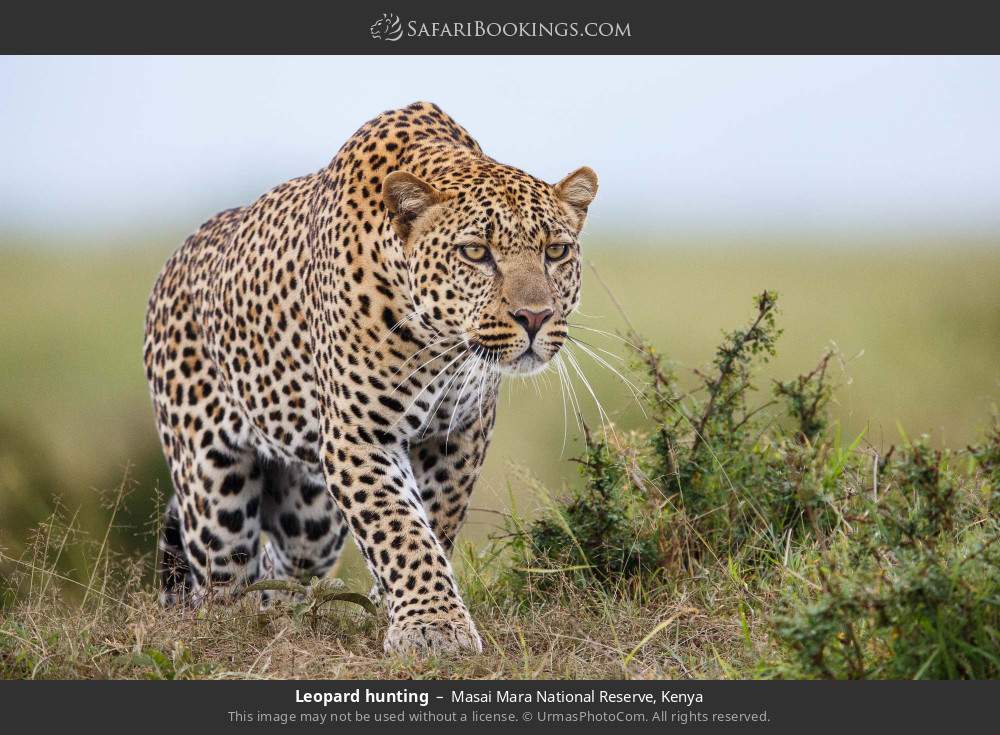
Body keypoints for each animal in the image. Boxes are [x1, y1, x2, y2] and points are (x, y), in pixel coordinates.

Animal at [145, 99, 596, 656]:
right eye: (475, 253)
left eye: (556, 251)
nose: (534, 317)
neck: (440, 343)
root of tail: (175, 260)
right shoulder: (359, 437)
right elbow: (399, 527)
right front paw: (432, 626)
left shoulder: (458, 435)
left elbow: (433, 523)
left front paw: (397, 608)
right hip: (213, 490)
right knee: (223, 580)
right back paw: (242, 626)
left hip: (310, 517)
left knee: (282, 563)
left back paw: (289, 615)